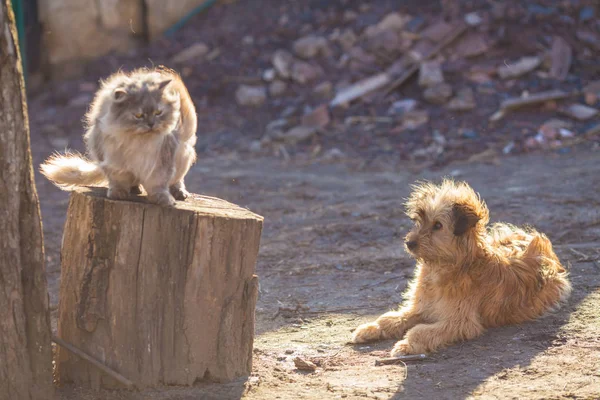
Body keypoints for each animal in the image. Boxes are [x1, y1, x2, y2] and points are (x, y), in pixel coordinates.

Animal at [39, 66, 197, 206]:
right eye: (138, 115)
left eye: (158, 113)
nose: (151, 124)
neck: (139, 141)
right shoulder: (115, 161)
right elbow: (118, 181)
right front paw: (118, 194)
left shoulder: (161, 161)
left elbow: (158, 184)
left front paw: (163, 199)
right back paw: (135, 189)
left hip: (184, 154)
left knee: (177, 180)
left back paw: (179, 193)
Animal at [352, 180, 572, 354]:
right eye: (418, 221)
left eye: (438, 225)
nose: (409, 243)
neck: (445, 266)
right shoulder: (422, 308)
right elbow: (390, 318)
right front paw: (370, 329)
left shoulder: (460, 322)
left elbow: (420, 330)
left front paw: (407, 345)